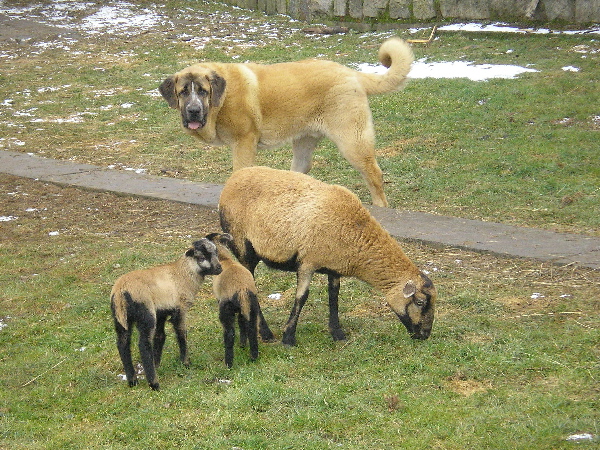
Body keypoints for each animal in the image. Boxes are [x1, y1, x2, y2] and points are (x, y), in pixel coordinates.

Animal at [109, 239, 221, 390]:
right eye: (201, 257)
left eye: (216, 252)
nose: (219, 268)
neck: (184, 273)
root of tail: (121, 290)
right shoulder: (180, 309)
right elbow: (182, 334)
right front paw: (185, 362)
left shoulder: (162, 312)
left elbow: (160, 337)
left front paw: (157, 363)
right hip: (146, 314)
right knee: (143, 344)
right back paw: (154, 383)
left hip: (120, 317)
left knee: (122, 343)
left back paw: (132, 380)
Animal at [159, 38, 412, 207]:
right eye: (183, 92)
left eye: (202, 91)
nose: (193, 111)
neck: (220, 101)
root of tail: (351, 73)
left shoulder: (243, 142)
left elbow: (239, 173)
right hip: (304, 141)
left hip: (352, 141)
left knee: (374, 173)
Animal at [206, 234, 272, 368]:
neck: (225, 259)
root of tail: (242, 290)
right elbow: (242, 324)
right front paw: (242, 344)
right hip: (251, 307)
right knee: (251, 330)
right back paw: (253, 356)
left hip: (226, 310)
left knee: (229, 334)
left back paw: (228, 363)